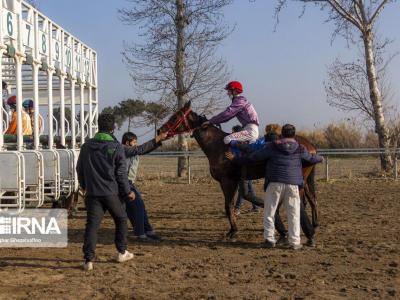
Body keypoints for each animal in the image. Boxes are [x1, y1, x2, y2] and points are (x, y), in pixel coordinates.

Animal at [159, 102, 318, 240]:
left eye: (175, 117)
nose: (160, 130)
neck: (218, 146)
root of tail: (310, 146)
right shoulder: (232, 182)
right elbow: (231, 204)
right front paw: (232, 229)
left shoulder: (228, 181)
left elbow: (228, 206)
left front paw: (233, 231)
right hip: (304, 179)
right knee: (311, 199)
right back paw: (313, 225)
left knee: (302, 202)